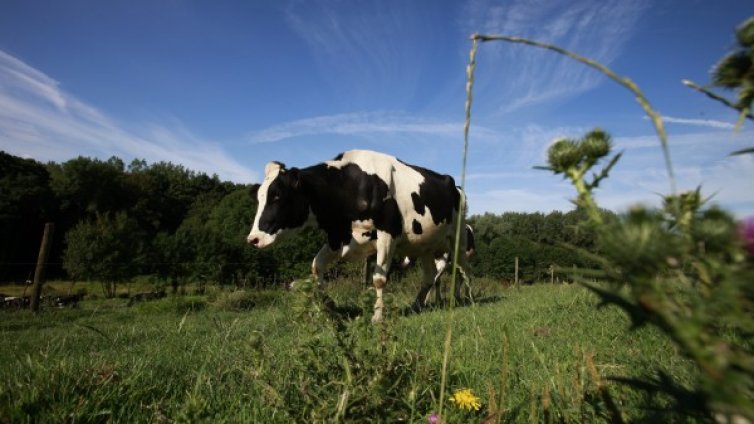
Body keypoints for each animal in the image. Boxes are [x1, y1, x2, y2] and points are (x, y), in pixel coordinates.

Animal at [247, 150, 468, 322]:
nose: (253, 239)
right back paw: (416, 305)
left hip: (458, 239)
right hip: (424, 246)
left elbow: (379, 279)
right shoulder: (340, 238)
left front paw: (377, 316)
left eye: (277, 195)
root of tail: (454, 184)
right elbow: (316, 266)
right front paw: (328, 305)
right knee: (430, 276)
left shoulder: (388, 234)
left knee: (462, 271)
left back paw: (462, 299)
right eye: (259, 197)